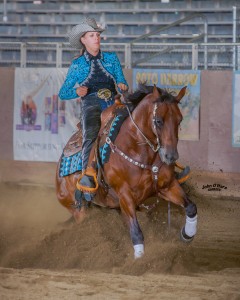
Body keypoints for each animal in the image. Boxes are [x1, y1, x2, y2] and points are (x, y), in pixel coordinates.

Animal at [55, 84, 198, 258]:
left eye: (180, 119)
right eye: (158, 120)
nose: (170, 156)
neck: (139, 151)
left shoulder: (168, 186)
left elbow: (191, 207)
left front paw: (187, 234)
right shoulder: (125, 195)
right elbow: (136, 232)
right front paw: (139, 259)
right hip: (78, 210)